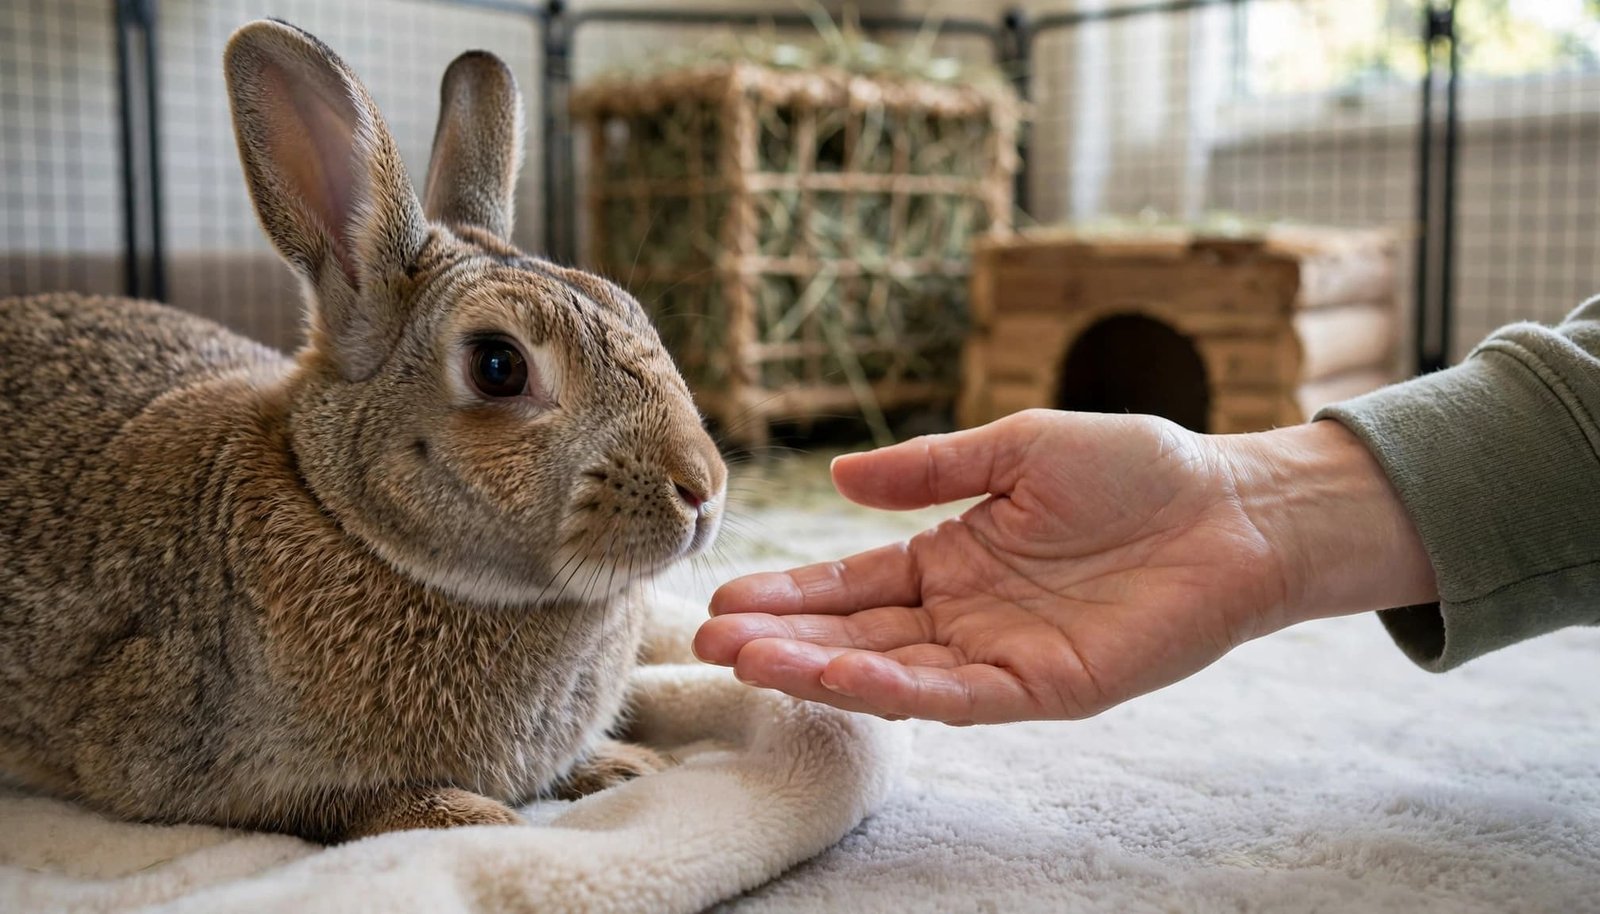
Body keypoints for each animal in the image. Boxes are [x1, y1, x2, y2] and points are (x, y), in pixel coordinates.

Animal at [0, 19, 726, 844]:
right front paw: (475, 818)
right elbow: (346, 806)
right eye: (499, 366)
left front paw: (628, 766)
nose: (702, 488)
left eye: (632, 309)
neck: (341, 516)